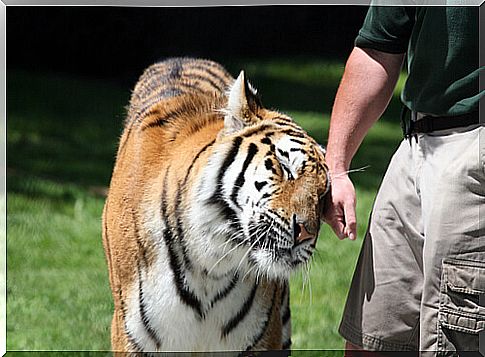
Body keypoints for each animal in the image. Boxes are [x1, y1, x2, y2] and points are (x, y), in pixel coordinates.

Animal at [102, 57, 328, 352]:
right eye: (285, 167)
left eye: (323, 195)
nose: (306, 234)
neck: (210, 264)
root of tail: (182, 59)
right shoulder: (132, 335)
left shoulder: (262, 336)